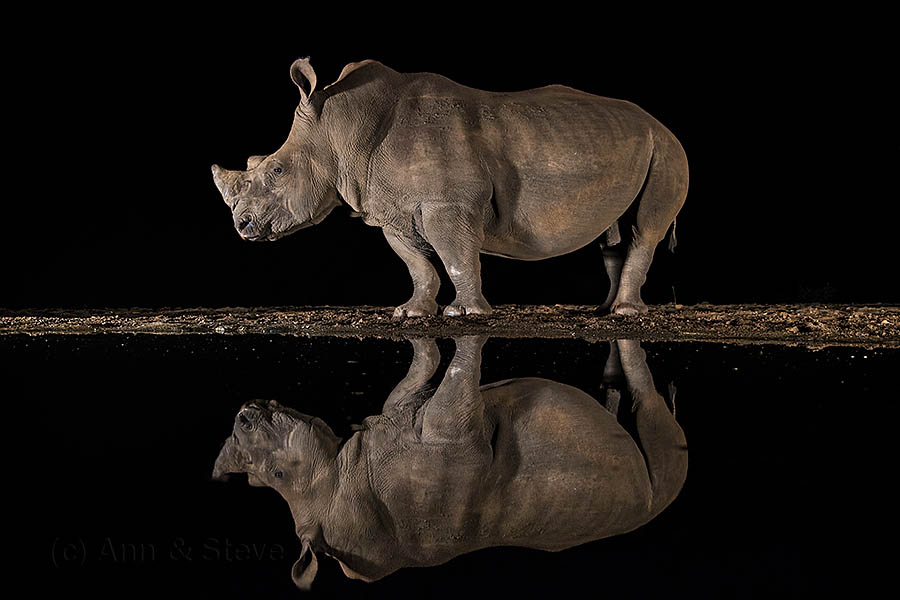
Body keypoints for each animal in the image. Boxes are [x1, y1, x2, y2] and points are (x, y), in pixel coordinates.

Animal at [210, 58, 689, 317]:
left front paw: (466, 313)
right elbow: (418, 265)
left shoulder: (448, 203)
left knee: (645, 229)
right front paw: (410, 313)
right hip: (631, 143)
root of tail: (658, 122)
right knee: (612, 234)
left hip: (666, 149)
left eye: (276, 170)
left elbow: (457, 257)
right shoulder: (391, 211)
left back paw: (623, 312)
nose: (243, 226)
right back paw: (604, 311)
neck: (341, 129)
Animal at [212, 338, 688, 589]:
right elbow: (454, 384)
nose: (244, 413)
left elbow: (423, 371)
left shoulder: (405, 420)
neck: (339, 481)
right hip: (644, 498)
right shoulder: (451, 437)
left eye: (276, 474)